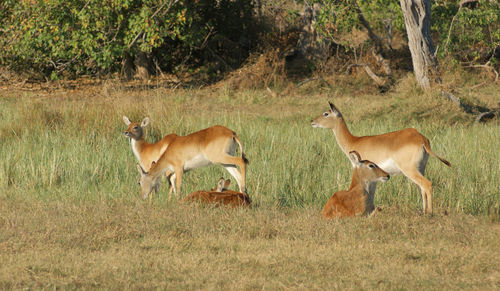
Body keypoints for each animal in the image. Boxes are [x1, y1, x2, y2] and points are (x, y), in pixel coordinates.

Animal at [310, 102, 452, 214]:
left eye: (326, 113)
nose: (312, 121)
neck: (354, 141)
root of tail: (421, 138)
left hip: (410, 170)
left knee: (427, 184)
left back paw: (429, 213)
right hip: (421, 168)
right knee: (422, 188)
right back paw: (423, 212)